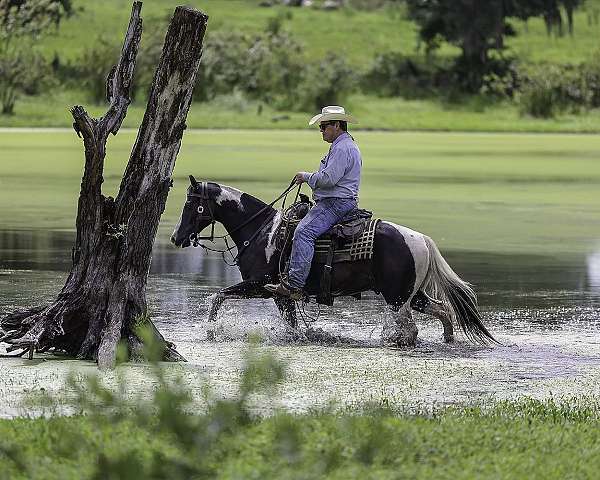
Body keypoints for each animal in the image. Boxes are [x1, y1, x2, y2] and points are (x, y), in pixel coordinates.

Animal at [170, 176, 496, 344]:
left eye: (191, 204)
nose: (175, 237)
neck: (262, 230)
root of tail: (421, 240)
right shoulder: (281, 295)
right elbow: (292, 326)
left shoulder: (260, 285)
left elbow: (217, 297)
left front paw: (211, 330)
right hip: (411, 295)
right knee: (443, 311)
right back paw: (447, 340)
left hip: (397, 298)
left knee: (412, 328)